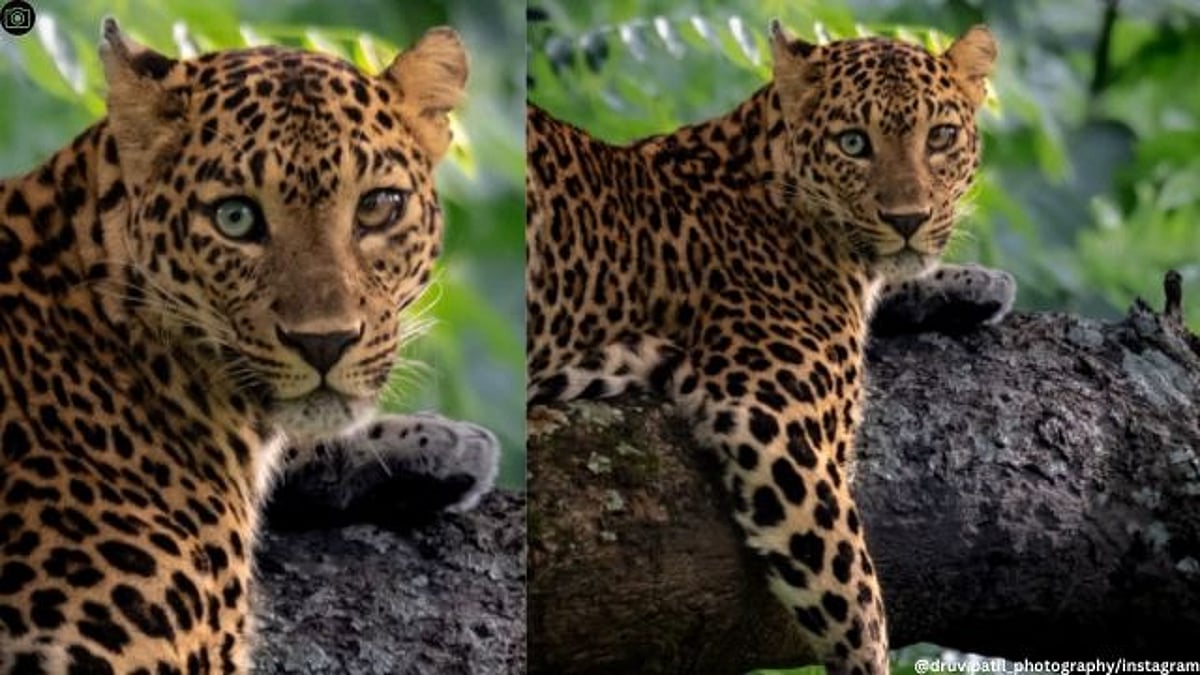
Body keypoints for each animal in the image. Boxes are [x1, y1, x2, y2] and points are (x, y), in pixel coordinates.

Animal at [526, 21, 1012, 675]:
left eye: (940, 137)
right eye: (853, 143)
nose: (908, 219)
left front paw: (972, 284)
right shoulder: (775, 420)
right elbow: (854, 593)